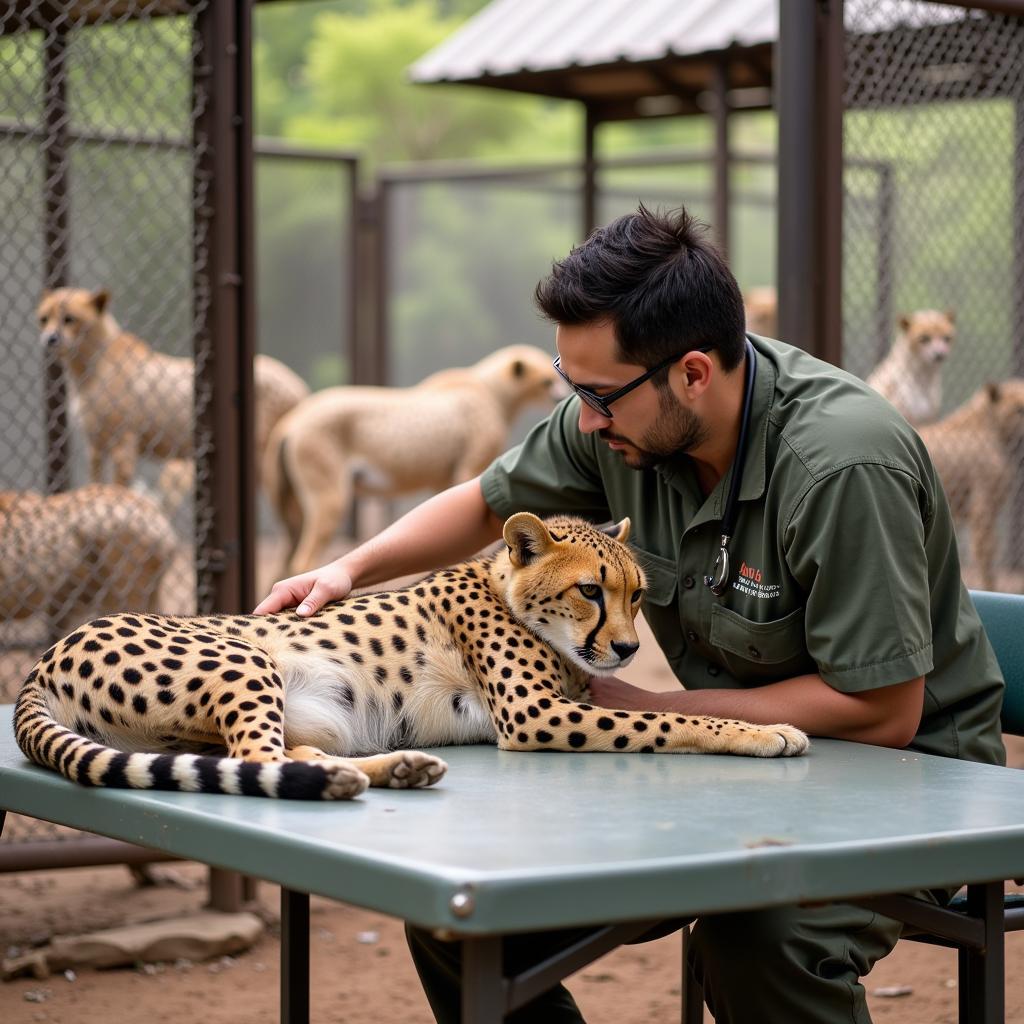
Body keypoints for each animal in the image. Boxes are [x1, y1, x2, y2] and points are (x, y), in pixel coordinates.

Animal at [12, 512, 802, 798]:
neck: (505, 590)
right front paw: (764, 731)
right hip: (245, 660)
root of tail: (45, 657)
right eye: (589, 591)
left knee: (278, 757)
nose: (630, 646)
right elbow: (671, 722)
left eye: (637, 595)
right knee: (257, 759)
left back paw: (393, 768)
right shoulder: (535, 717)